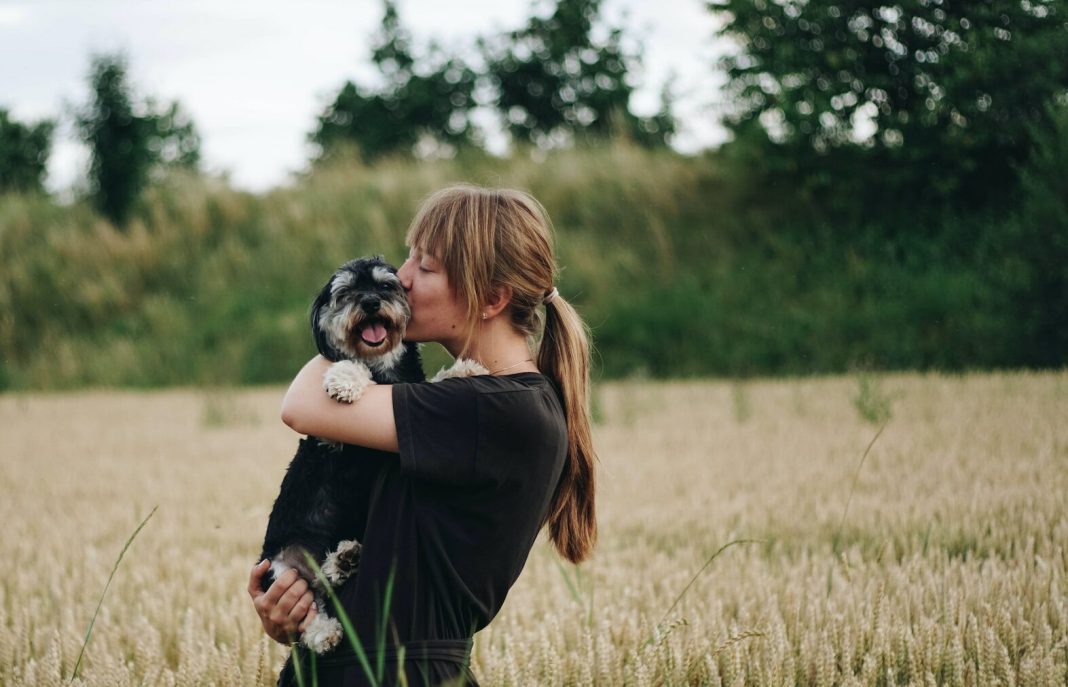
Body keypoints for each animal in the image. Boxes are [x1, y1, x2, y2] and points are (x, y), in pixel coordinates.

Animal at [258, 255, 425, 653]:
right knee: (312, 611)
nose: (370, 303)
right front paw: (345, 379)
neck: (386, 373)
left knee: (327, 583)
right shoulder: (327, 440)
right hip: (280, 568)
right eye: (346, 292)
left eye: (385, 286)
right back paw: (327, 623)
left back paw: (344, 561)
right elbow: (355, 363)